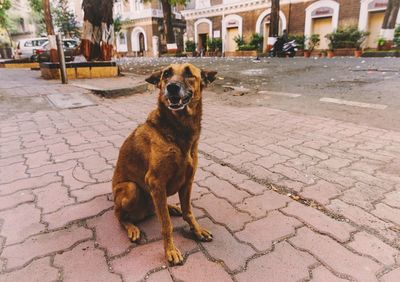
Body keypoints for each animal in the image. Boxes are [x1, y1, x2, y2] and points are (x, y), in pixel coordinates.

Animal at [112, 63, 217, 264]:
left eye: (189, 73)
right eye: (166, 74)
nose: (172, 87)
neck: (178, 132)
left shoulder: (188, 181)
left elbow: (188, 211)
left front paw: (197, 230)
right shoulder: (155, 181)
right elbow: (166, 224)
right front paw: (170, 250)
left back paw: (171, 207)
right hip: (131, 189)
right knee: (119, 216)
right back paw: (132, 227)